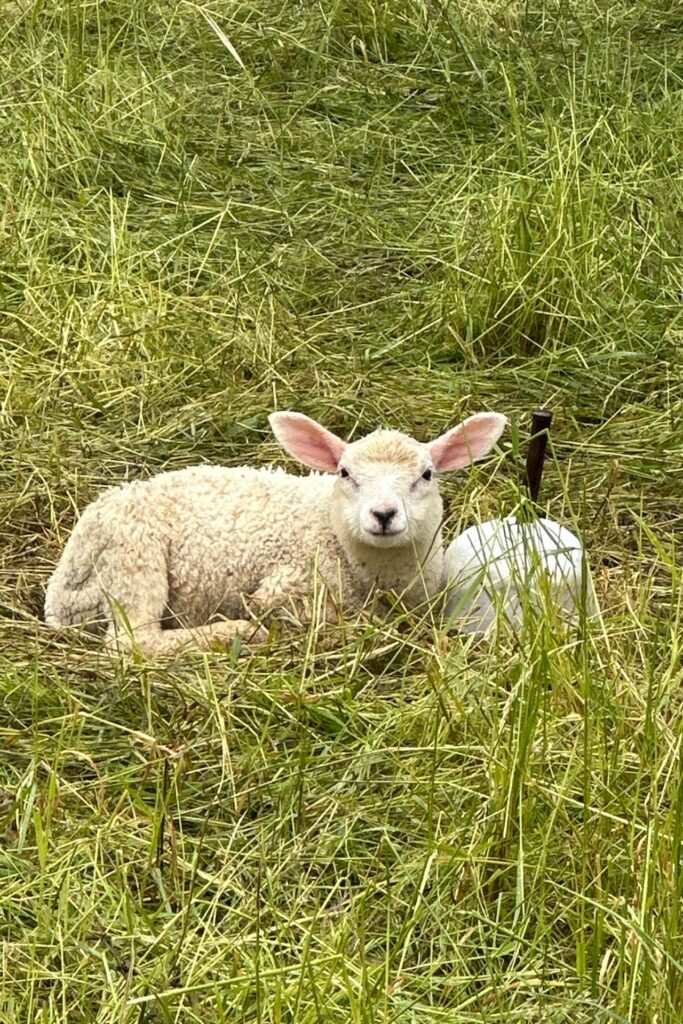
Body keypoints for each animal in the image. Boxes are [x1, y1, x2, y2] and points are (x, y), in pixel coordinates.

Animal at [41, 409, 501, 655]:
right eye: (345, 473)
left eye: (427, 474)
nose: (383, 514)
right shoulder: (289, 588)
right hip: (134, 556)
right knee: (132, 642)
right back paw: (238, 632)